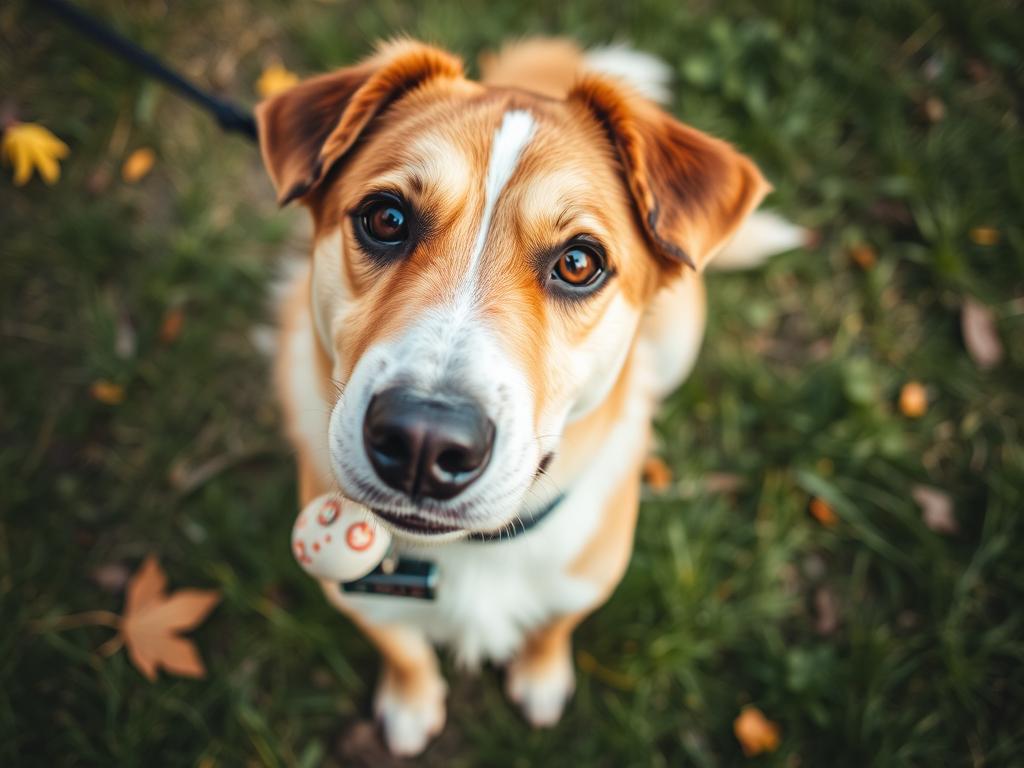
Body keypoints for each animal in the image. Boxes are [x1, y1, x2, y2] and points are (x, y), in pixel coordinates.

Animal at [253, 36, 798, 757]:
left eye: (579, 262)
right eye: (386, 218)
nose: (423, 440)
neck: (474, 551)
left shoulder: (584, 585)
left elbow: (552, 629)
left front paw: (541, 679)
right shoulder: (359, 601)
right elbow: (404, 649)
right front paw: (411, 702)